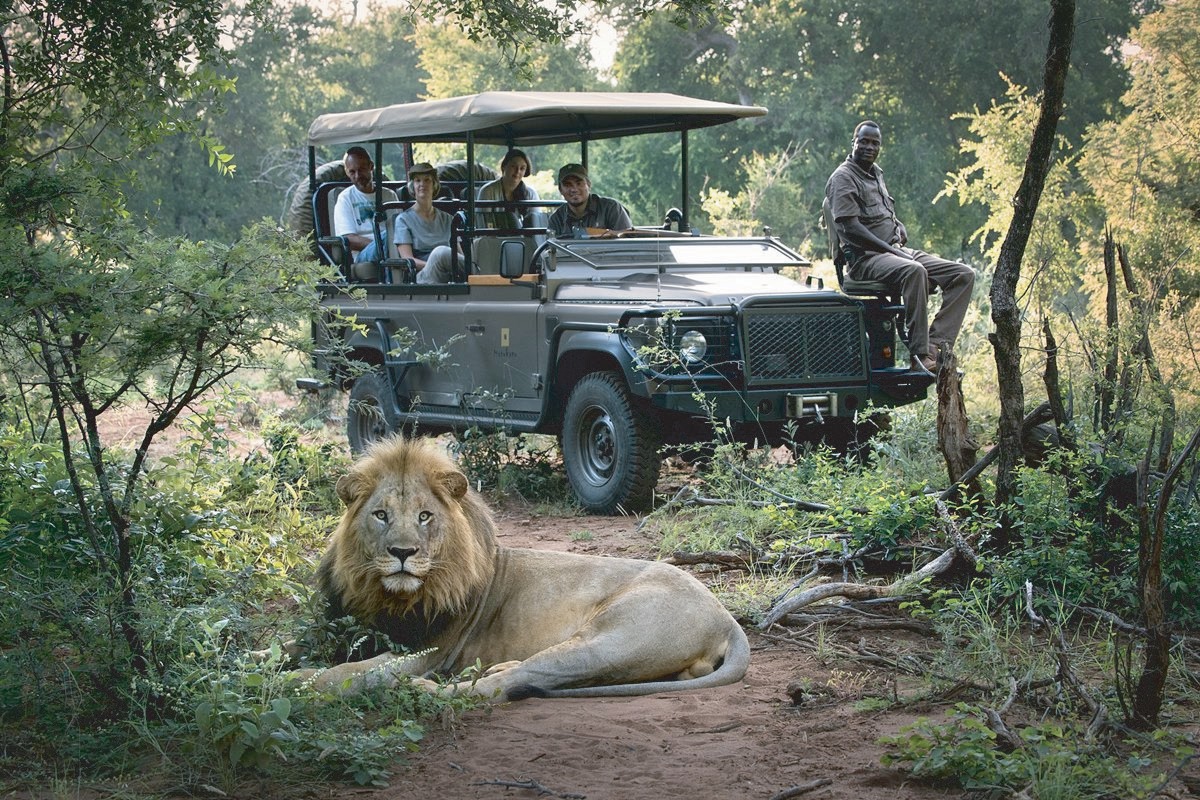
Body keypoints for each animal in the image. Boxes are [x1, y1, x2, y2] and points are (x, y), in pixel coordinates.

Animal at [287, 436, 750, 701]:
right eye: (381, 515)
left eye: (424, 516)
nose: (403, 552)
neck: (386, 596)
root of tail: (727, 617)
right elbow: (291, 646)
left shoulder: (426, 652)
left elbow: (348, 673)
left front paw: (298, 682)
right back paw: (497, 666)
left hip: (610, 640)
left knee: (503, 686)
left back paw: (430, 690)